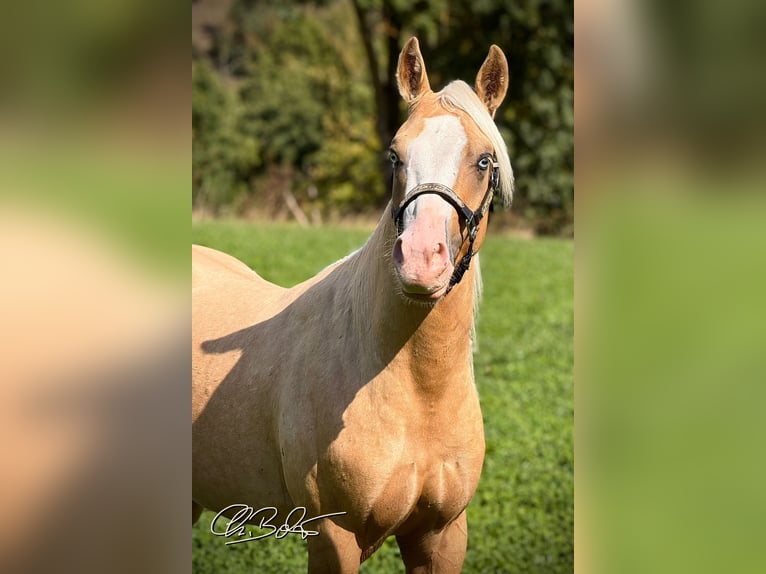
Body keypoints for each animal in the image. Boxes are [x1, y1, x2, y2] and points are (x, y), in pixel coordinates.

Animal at [192, 37, 513, 573]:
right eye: (394, 155)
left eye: (485, 160)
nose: (421, 259)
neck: (417, 392)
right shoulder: (333, 537)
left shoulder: (442, 534)